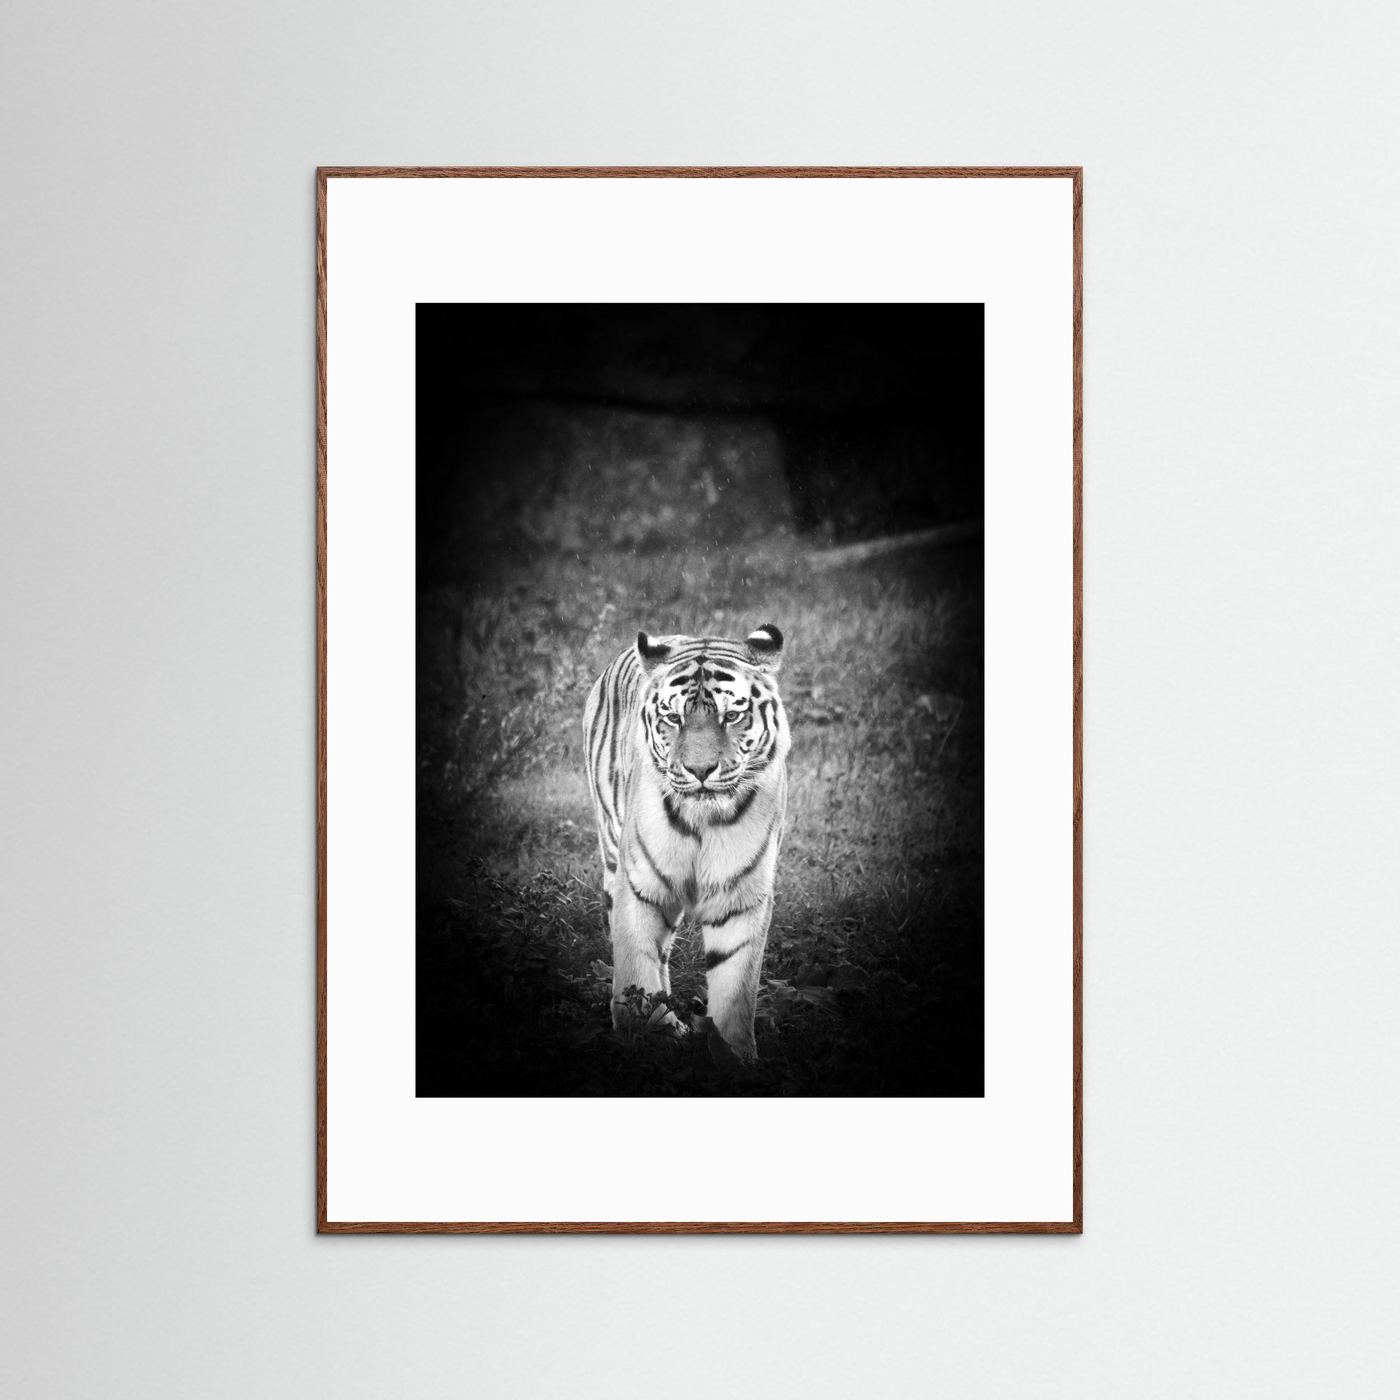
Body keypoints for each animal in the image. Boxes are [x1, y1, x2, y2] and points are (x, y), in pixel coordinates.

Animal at [582, 623, 790, 1060]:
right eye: (673, 718)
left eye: (732, 715)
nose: (700, 770)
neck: (702, 821)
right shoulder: (639, 885)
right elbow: (636, 965)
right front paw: (645, 1038)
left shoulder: (741, 896)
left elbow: (735, 986)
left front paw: (734, 1056)